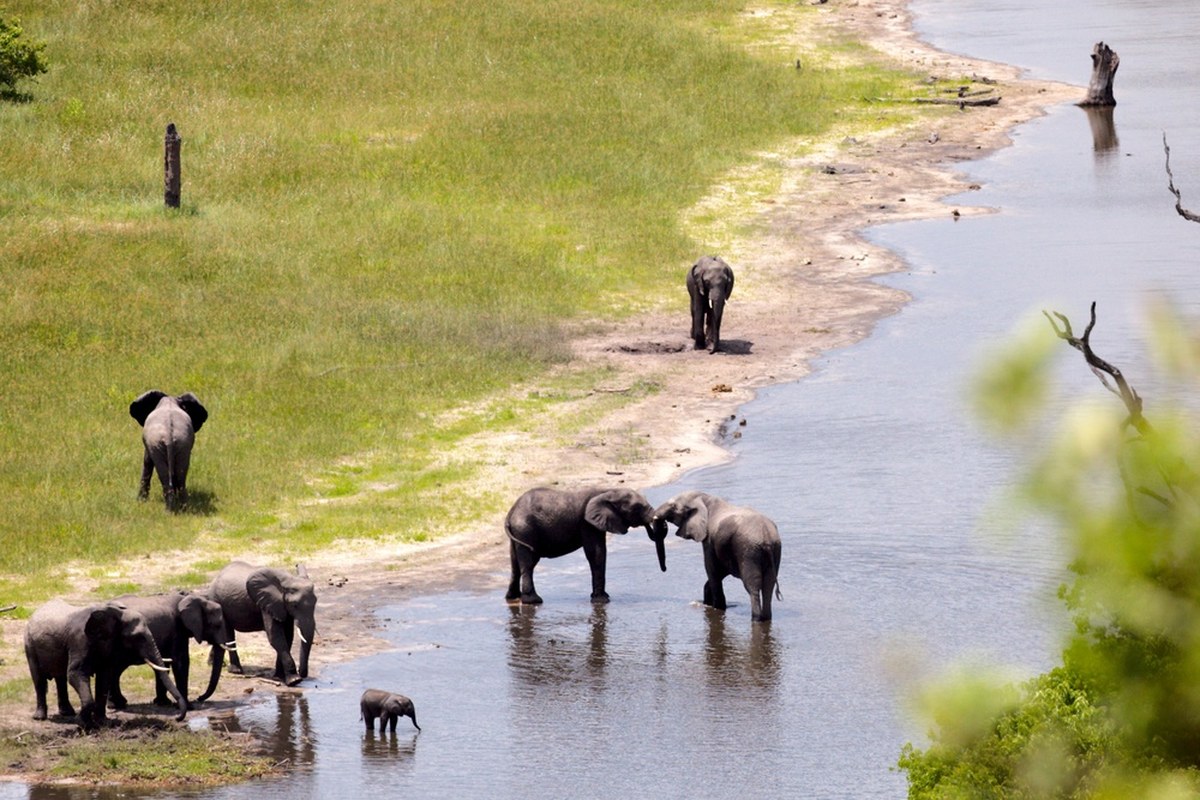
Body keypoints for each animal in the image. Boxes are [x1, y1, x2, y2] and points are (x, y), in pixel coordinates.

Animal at [22, 599, 187, 734]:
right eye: (138, 637)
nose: (177, 718)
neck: (114, 613)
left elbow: (104, 677)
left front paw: (103, 723)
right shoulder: (79, 641)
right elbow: (76, 674)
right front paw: (84, 725)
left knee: (60, 678)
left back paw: (67, 713)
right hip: (29, 644)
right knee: (39, 680)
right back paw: (40, 717)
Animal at [504, 484, 667, 604]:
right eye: (637, 508)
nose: (664, 570)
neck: (608, 491)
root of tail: (511, 512)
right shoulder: (587, 523)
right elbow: (596, 553)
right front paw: (602, 600)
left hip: (519, 532)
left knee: (515, 563)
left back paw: (513, 597)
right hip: (526, 529)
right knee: (529, 562)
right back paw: (533, 601)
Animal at [652, 489, 782, 623]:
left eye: (673, 506)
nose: (664, 569)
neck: (704, 498)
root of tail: (766, 536)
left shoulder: (709, 539)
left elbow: (711, 569)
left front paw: (718, 608)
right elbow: (720, 572)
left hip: (748, 551)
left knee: (753, 587)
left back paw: (756, 620)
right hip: (774, 549)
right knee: (768, 586)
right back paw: (766, 619)